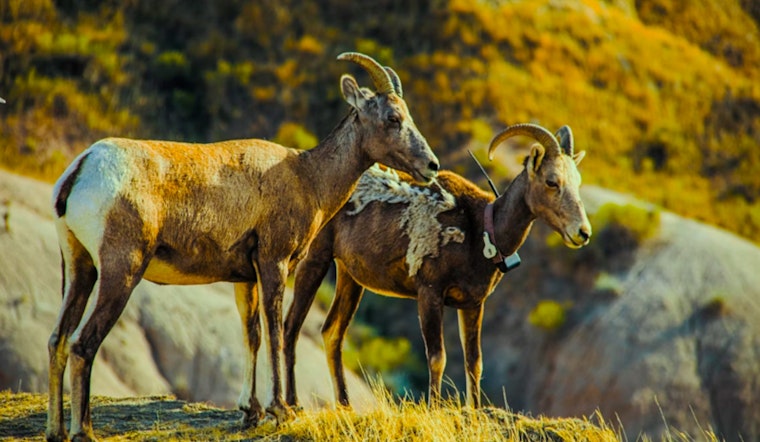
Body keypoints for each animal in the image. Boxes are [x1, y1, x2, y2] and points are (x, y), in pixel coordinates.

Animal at [46, 52, 439, 442]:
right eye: (392, 118)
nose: (431, 166)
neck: (308, 177)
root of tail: (82, 168)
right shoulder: (273, 263)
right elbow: (275, 331)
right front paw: (281, 410)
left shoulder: (244, 278)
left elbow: (252, 336)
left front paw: (251, 412)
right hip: (121, 272)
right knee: (82, 344)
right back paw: (84, 432)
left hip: (78, 267)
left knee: (58, 340)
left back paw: (56, 431)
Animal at [284, 123, 590, 409]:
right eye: (552, 181)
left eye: (577, 181)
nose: (583, 232)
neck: (481, 232)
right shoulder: (430, 294)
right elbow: (437, 358)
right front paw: (434, 408)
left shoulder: (472, 304)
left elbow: (474, 361)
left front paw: (474, 412)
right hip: (315, 259)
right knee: (291, 325)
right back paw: (292, 403)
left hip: (350, 278)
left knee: (332, 332)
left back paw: (345, 405)